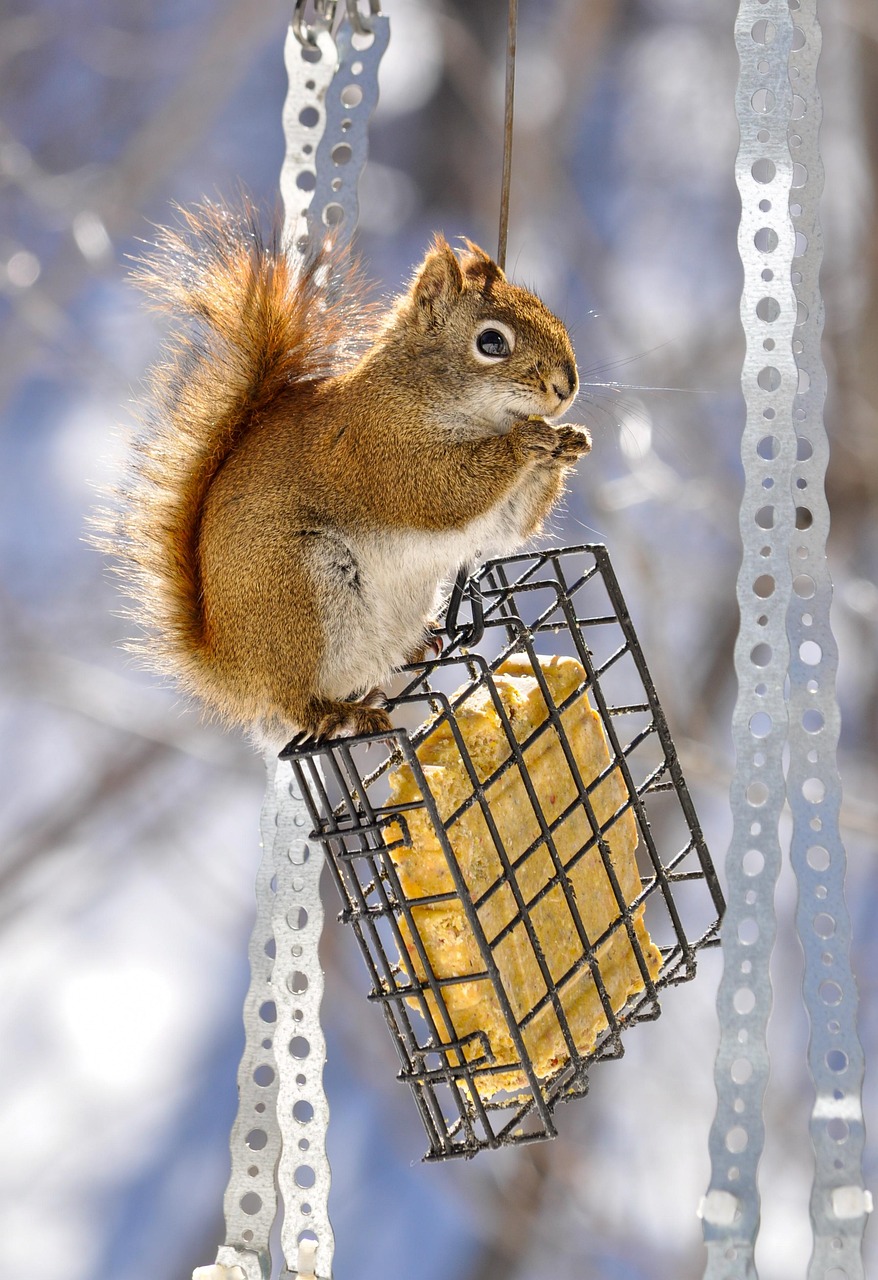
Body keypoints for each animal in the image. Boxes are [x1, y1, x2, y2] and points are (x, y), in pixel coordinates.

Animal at [98, 202, 590, 751]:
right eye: (491, 341)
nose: (565, 387)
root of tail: (235, 673)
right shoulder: (379, 452)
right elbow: (444, 492)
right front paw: (525, 443)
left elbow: (512, 526)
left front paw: (568, 442)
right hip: (300, 594)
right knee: (298, 702)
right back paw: (343, 714)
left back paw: (417, 647)